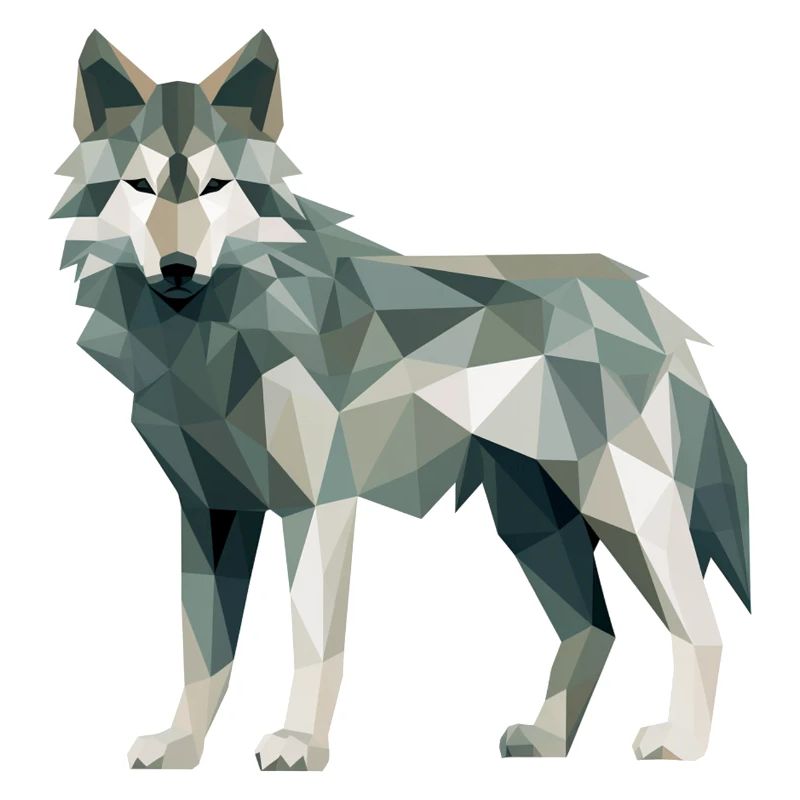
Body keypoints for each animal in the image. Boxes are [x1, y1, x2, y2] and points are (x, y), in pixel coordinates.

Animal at [53, 30, 749, 770]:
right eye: (140, 186)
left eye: (216, 187)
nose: (178, 268)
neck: (214, 336)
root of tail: (650, 308)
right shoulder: (208, 510)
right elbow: (202, 653)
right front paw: (180, 745)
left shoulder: (317, 506)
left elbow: (311, 644)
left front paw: (299, 744)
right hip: (534, 525)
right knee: (595, 627)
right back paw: (548, 740)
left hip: (625, 513)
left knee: (701, 626)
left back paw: (681, 744)